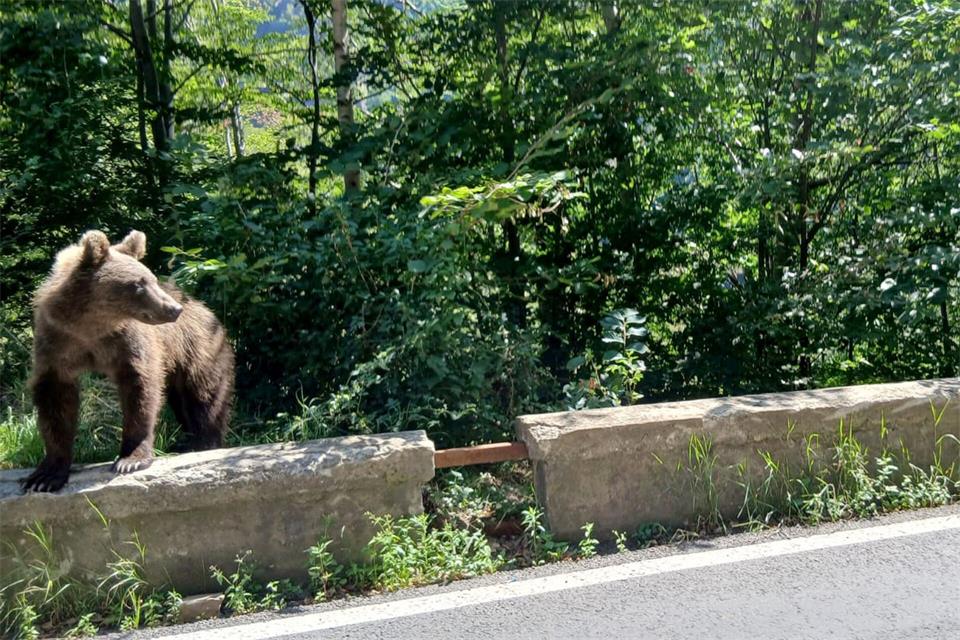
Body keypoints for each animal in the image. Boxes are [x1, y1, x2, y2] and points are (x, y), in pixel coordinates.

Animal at [21, 230, 235, 492]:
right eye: (138, 284)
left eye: (151, 279)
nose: (174, 309)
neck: (91, 326)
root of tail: (205, 309)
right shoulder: (57, 345)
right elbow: (55, 402)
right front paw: (45, 476)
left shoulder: (127, 344)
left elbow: (140, 390)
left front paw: (130, 460)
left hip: (200, 350)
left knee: (203, 397)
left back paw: (203, 441)